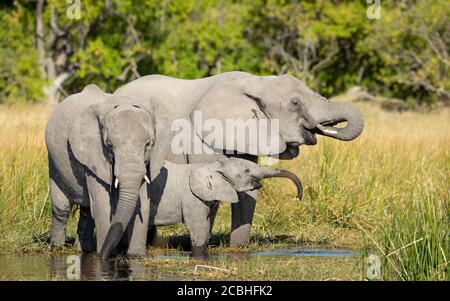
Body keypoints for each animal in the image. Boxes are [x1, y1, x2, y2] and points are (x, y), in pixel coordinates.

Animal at [44, 84, 163, 258]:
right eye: (109, 145)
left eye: (148, 144)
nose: (104, 254)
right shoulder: (93, 156)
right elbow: (102, 206)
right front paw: (105, 256)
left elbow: (143, 202)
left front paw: (135, 256)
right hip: (54, 160)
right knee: (61, 208)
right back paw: (57, 248)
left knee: (86, 211)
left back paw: (83, 250)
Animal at [148, 157, 302, 258]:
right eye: (246, 170)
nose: (297, 197)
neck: (214, 166)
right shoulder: (192, 198)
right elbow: (199, 227)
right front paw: (199, 257)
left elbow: (208, 224)